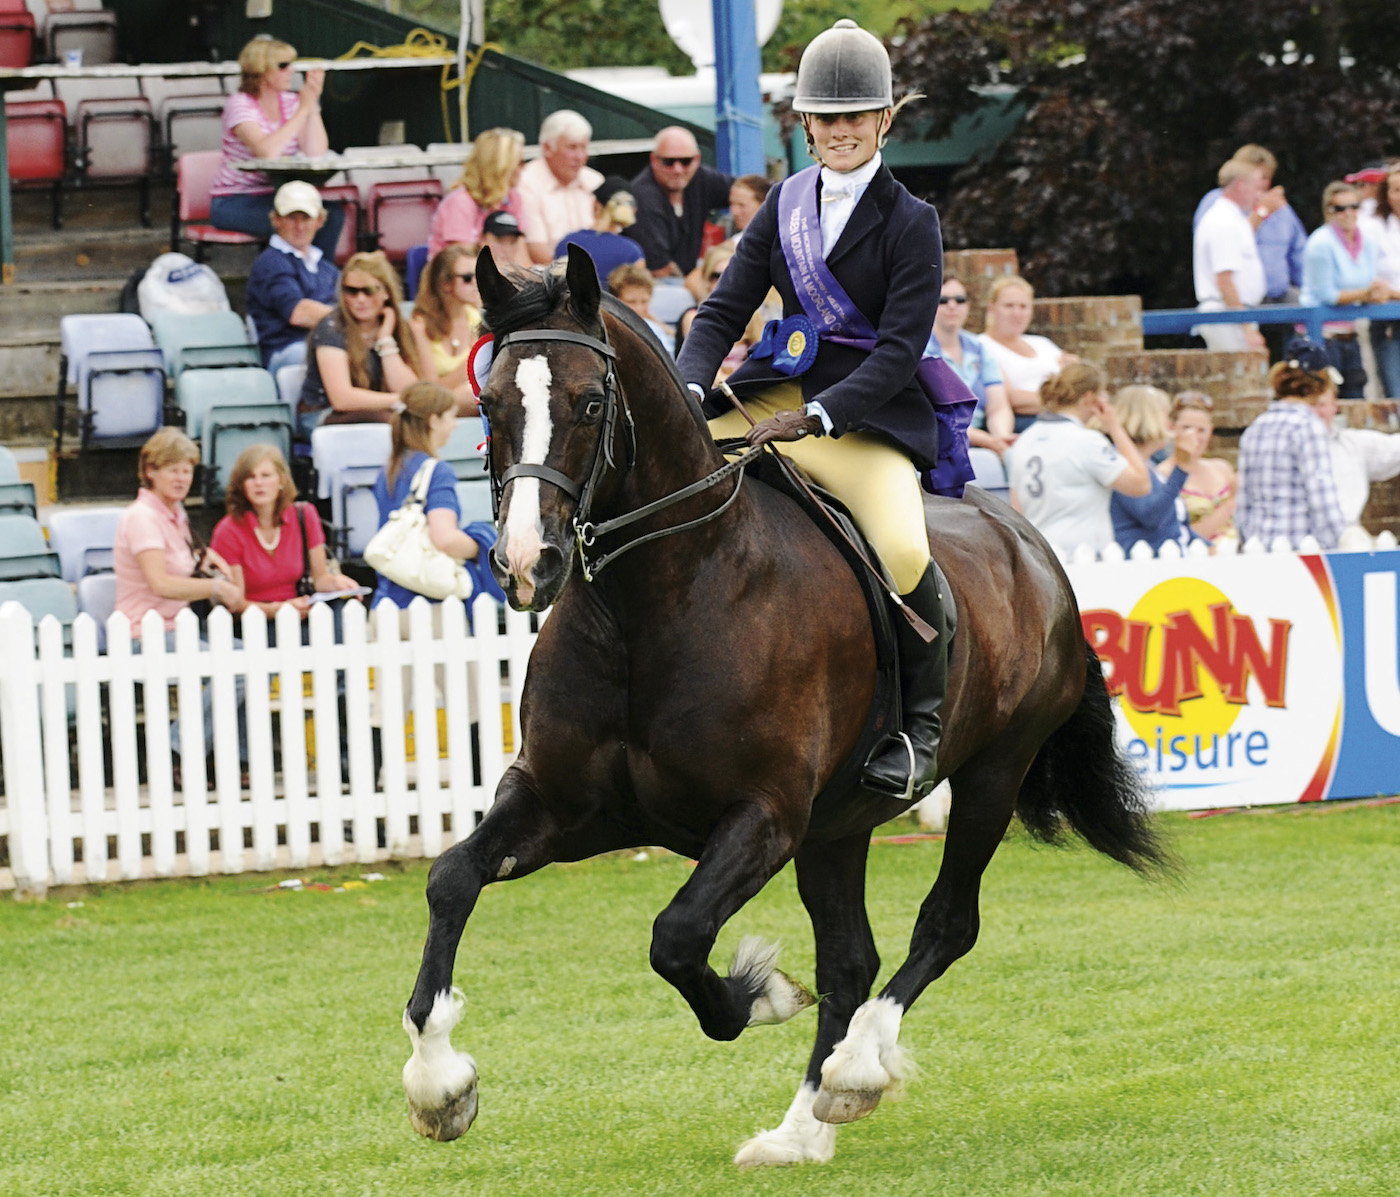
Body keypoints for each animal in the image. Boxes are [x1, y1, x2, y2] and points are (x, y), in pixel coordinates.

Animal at [401, 244, 1171, 1166]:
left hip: (990, 775)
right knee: (850, 957)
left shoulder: (763, 816)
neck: (652, 602)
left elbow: (677, 936)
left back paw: (855, 1070)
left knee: (945, 925)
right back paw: (801, 1128)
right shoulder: (569, 806)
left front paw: (760, 993)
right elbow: (451, 877)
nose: (525, 564)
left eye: (590, 402)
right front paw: (440, 1085)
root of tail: (1034, 548)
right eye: (490, 403)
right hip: (838, 826)